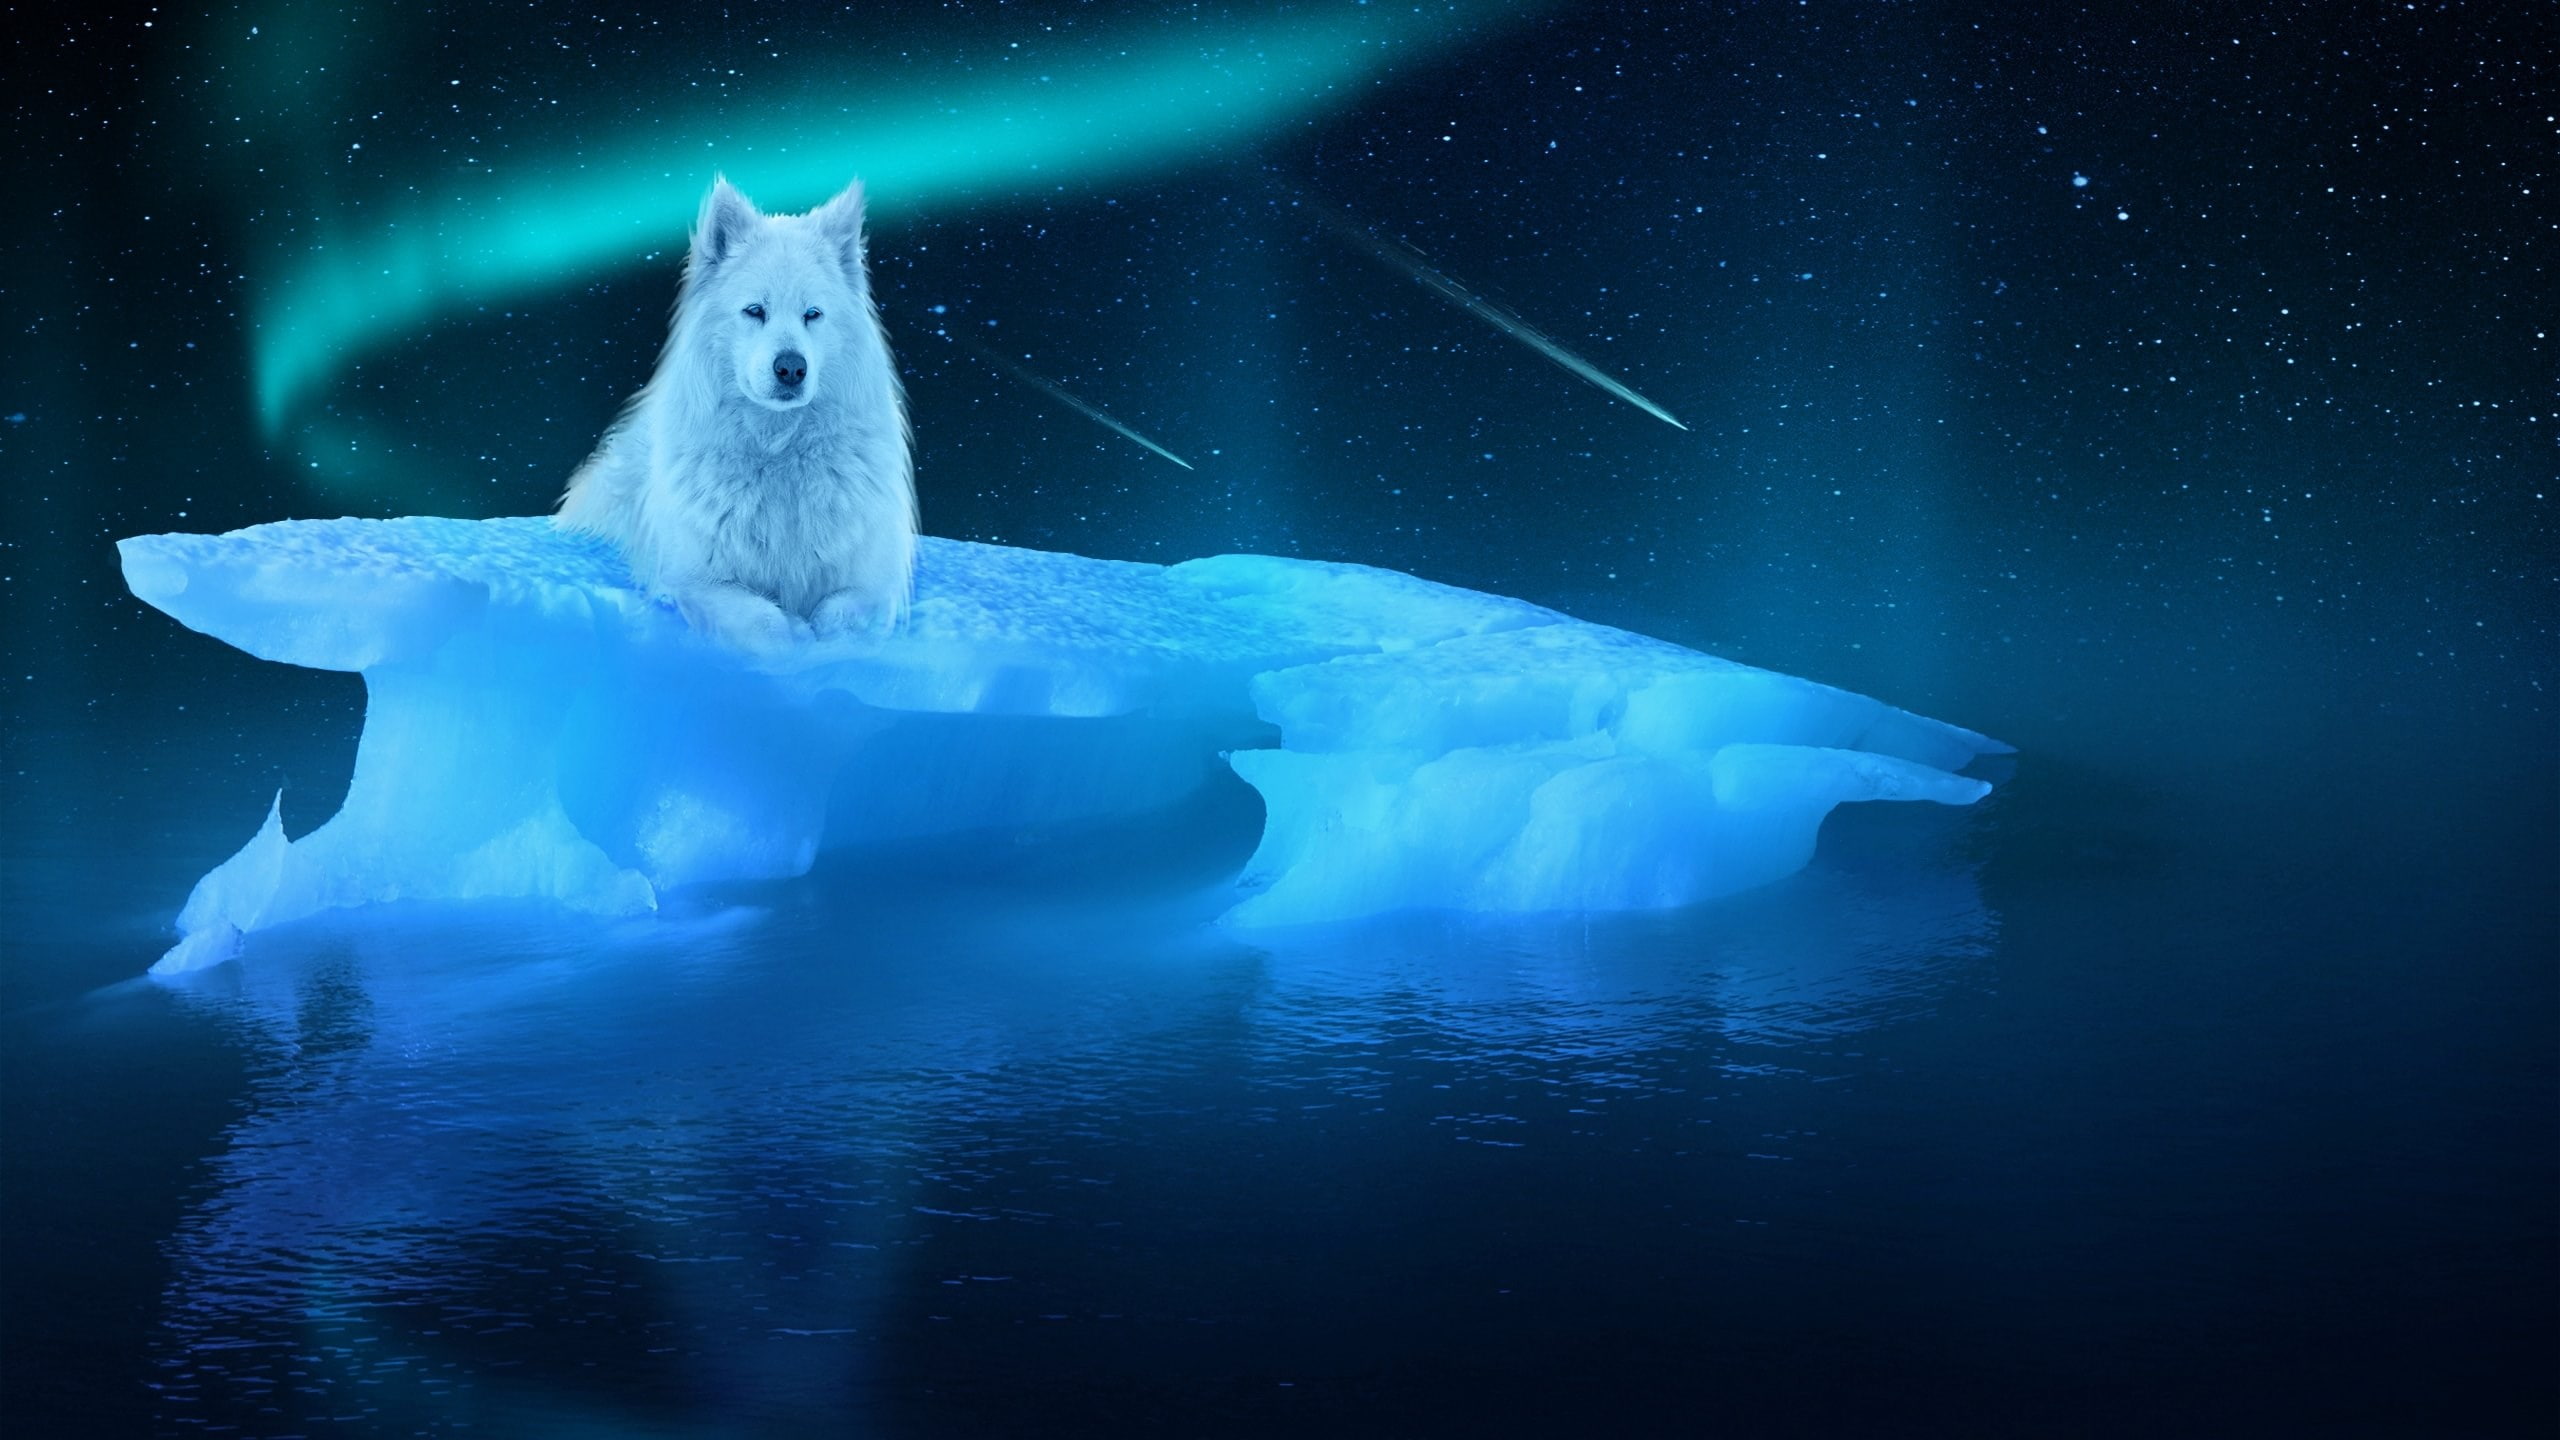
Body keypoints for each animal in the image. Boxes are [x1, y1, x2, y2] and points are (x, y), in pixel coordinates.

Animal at [557, 176, 915, 650]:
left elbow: (840, 615)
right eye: (755, 311)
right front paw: (794, 640)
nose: (791, 368)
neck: (778, 453)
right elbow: (765, 620)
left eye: (813, 314)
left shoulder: (871, 583)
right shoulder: (698, 580)